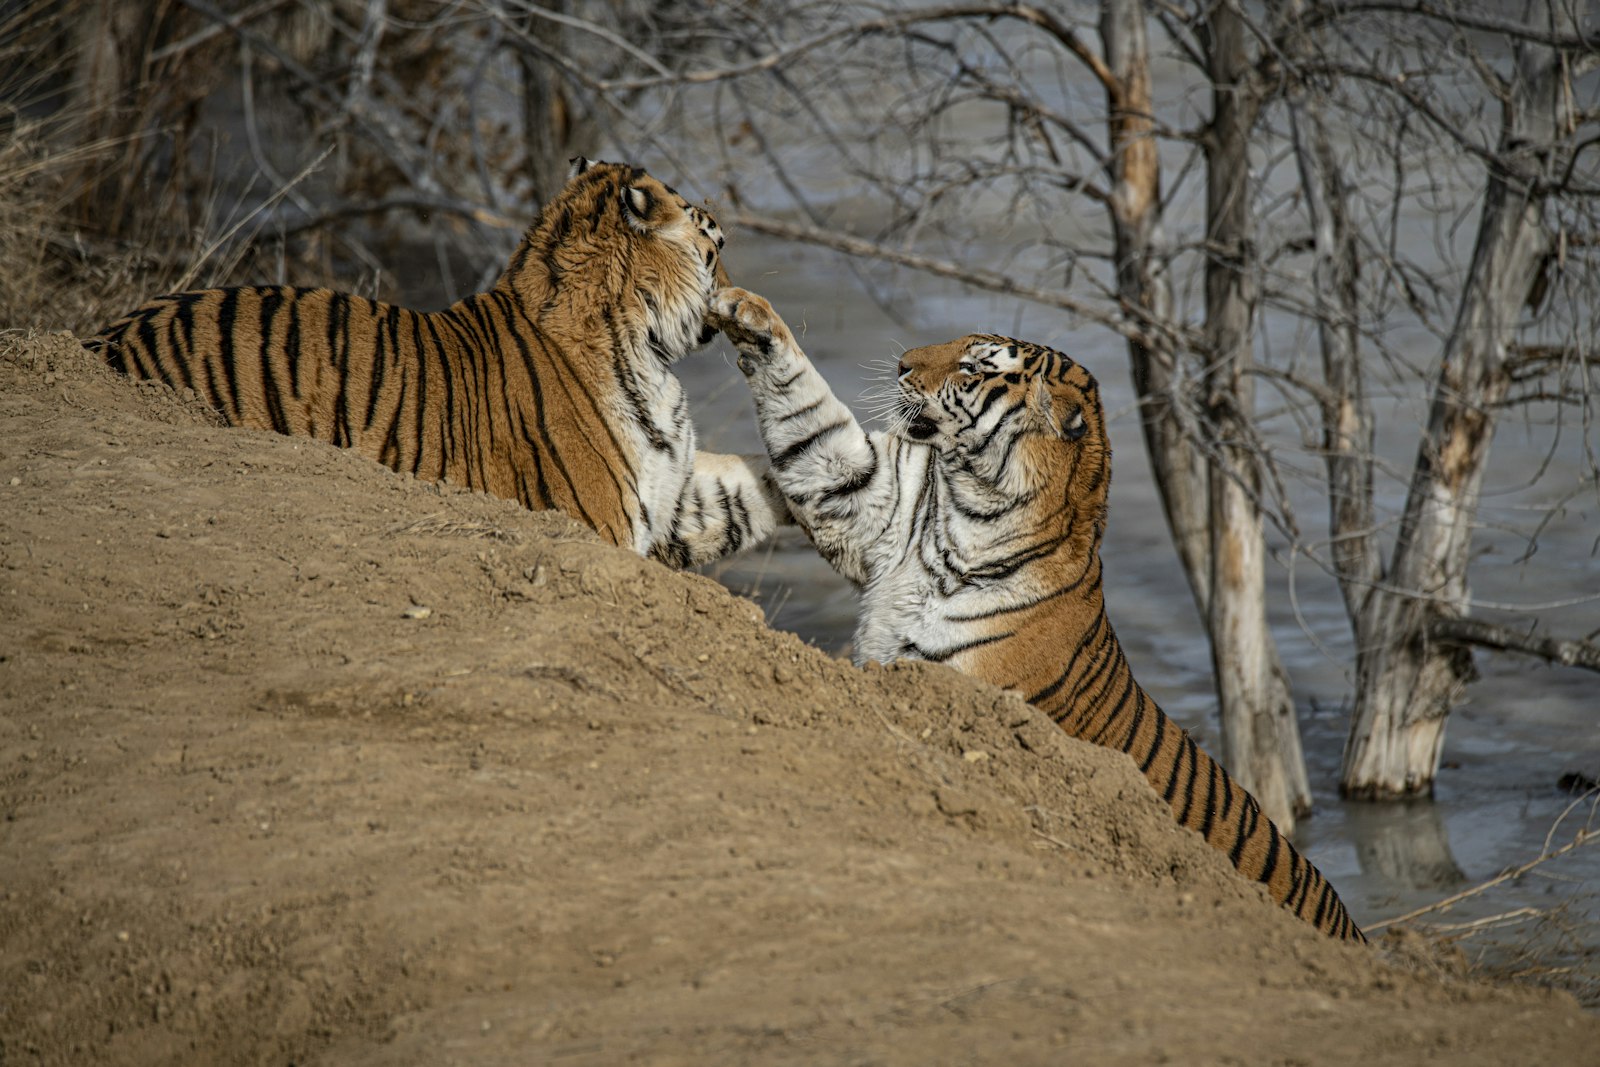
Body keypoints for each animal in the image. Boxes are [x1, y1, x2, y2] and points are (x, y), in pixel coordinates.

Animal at [87, 158, 787, 572]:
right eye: (716, 245)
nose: (733, 289)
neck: (645, 350)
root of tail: (106, 342)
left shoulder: (673, 492)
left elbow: (747, 484)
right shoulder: (600, 526)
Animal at [710, 286, 1363, 940]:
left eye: (973, 367)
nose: (900, 365)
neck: (965, 512)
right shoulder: (866, 493)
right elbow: (811, 421)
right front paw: (743, 308)